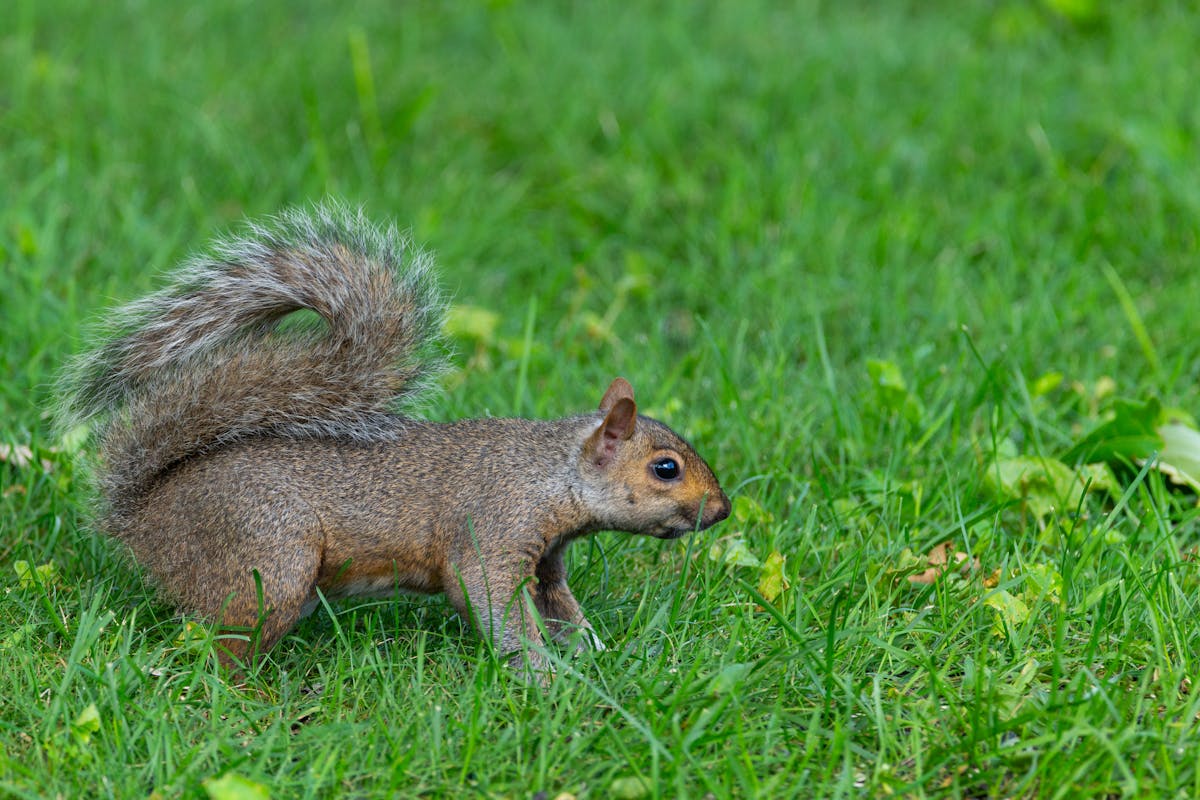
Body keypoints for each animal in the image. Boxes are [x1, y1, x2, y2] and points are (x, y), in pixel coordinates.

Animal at [58, 202, 731, 678]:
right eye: (665, 468)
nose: (723, 510)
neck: (550, 472)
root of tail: (142, 520)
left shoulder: (545, 560)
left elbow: (561, 609)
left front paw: (597, 657)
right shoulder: (494, 529)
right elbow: (493, 603)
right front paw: (545, 681)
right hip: (268, 558)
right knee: (224, 648)